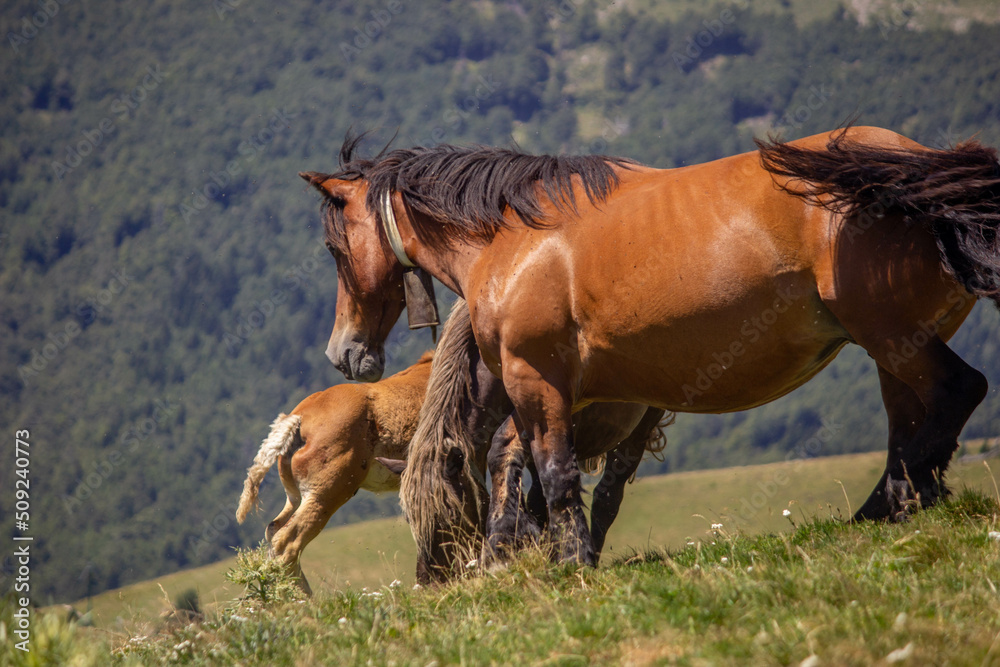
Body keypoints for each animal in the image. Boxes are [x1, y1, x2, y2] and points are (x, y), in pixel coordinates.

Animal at [299, 126, 1000, 566]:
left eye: (335, 249)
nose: (344, 353)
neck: (514, 238)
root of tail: (913, 161)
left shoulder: (535, 378)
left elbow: (553, 474)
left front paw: (569, 562)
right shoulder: (569, 393)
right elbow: (535, 469)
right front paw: (533, 552)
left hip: (890, 332)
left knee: (958, 391)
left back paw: (906, 495)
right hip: (892, 345)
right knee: (906, 420)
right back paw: (896, 504)